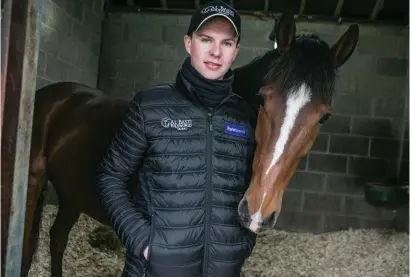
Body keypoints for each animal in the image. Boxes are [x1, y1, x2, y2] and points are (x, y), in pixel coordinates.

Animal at [0, 10, 358, 276]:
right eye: (263, 98)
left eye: (324, 117)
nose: (257, 210)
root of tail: (53, 94)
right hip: (32, 183)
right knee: (27, 248)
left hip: (73, 193)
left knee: (57, 239)